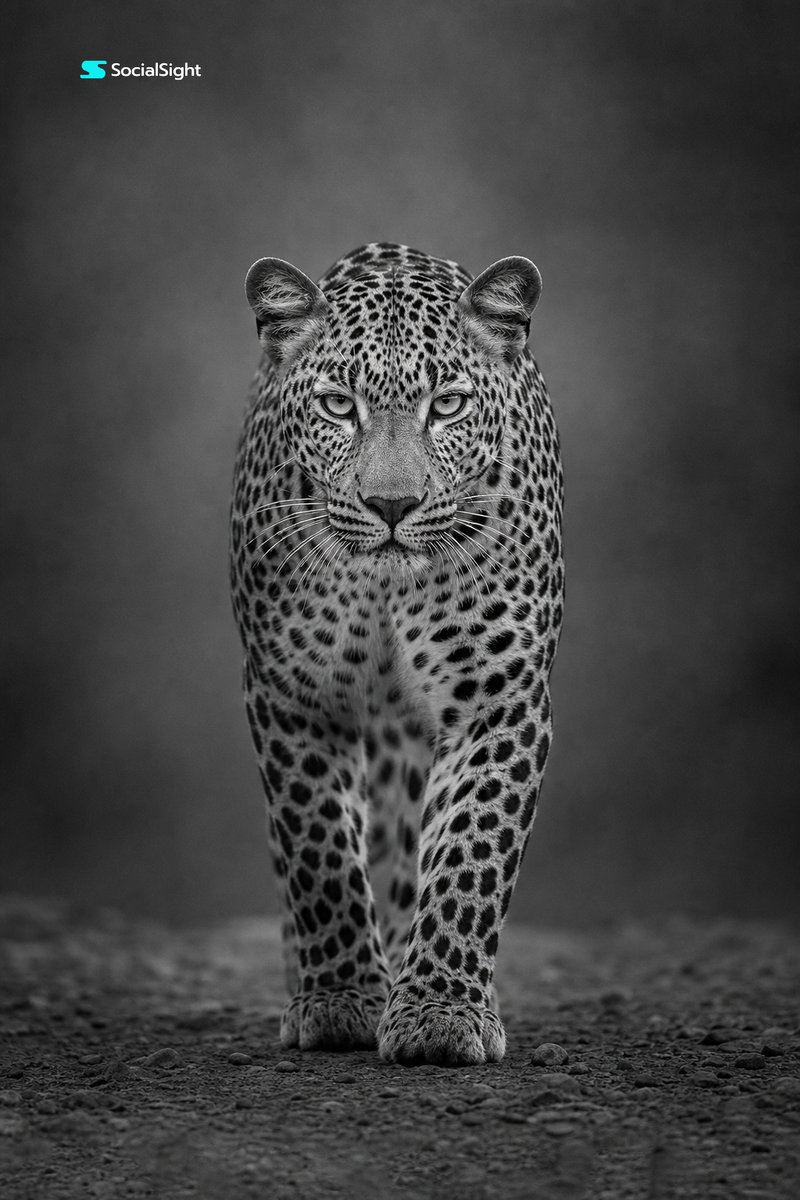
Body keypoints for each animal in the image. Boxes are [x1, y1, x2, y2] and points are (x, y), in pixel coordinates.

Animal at [229, 242, 563, 1066]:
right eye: (336, 406)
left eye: (446, 405)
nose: (390, 506)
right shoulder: (294, 696)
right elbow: (318, 849)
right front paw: (341, 999)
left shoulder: (499, 697)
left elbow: (473, 849)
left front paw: (440, 1010)